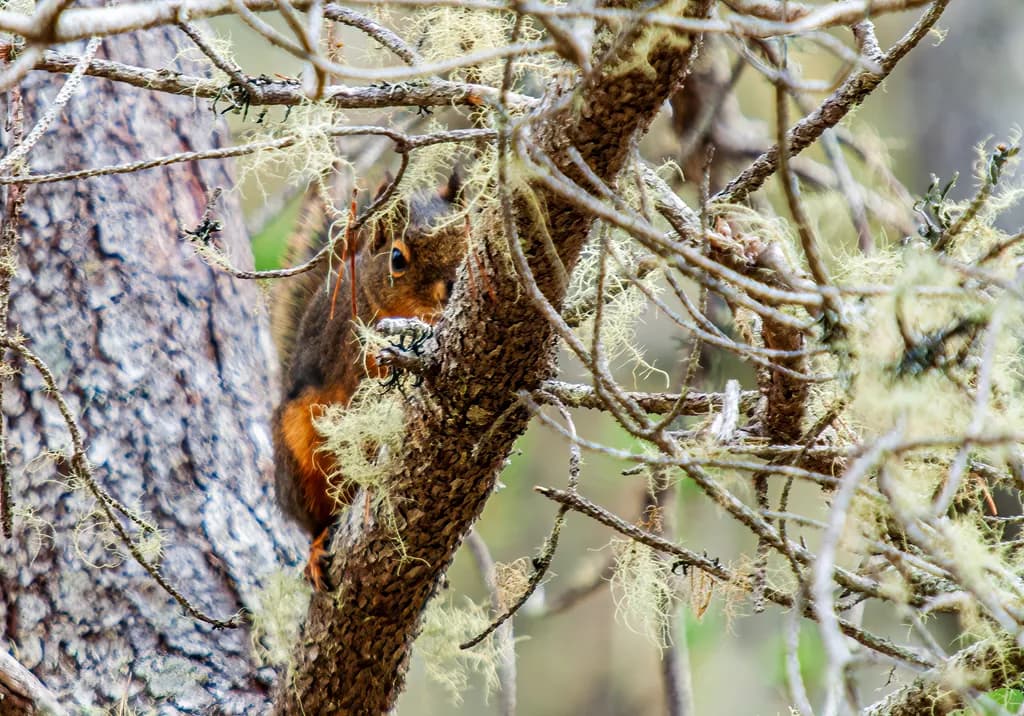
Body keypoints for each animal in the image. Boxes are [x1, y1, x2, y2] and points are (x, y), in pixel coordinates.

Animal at [271, 173, 467, 589]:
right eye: (397, 259)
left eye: (468, 233)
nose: (450, 288)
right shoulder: (352, 350)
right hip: (298, 461)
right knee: (315, 521)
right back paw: (316, 549)